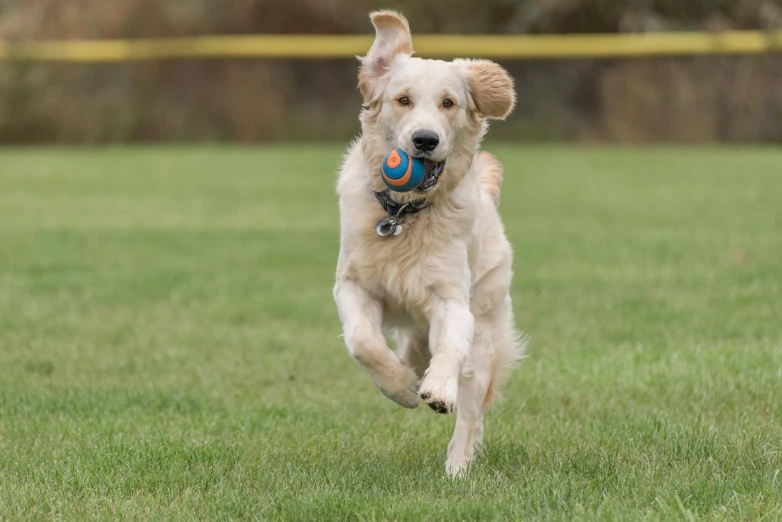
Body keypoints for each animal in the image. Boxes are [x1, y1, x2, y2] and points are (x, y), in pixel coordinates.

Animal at [330, 10, 528, 474]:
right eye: (403, 100)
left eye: (448, 103)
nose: (424, 140)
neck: (403, 216)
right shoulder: (352, 283)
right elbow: (363, 341)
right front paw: (401, 386)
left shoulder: (452, 300)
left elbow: (452, 347)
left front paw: (436, 389)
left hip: (485, 330)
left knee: (471, 411)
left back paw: (457, 467)